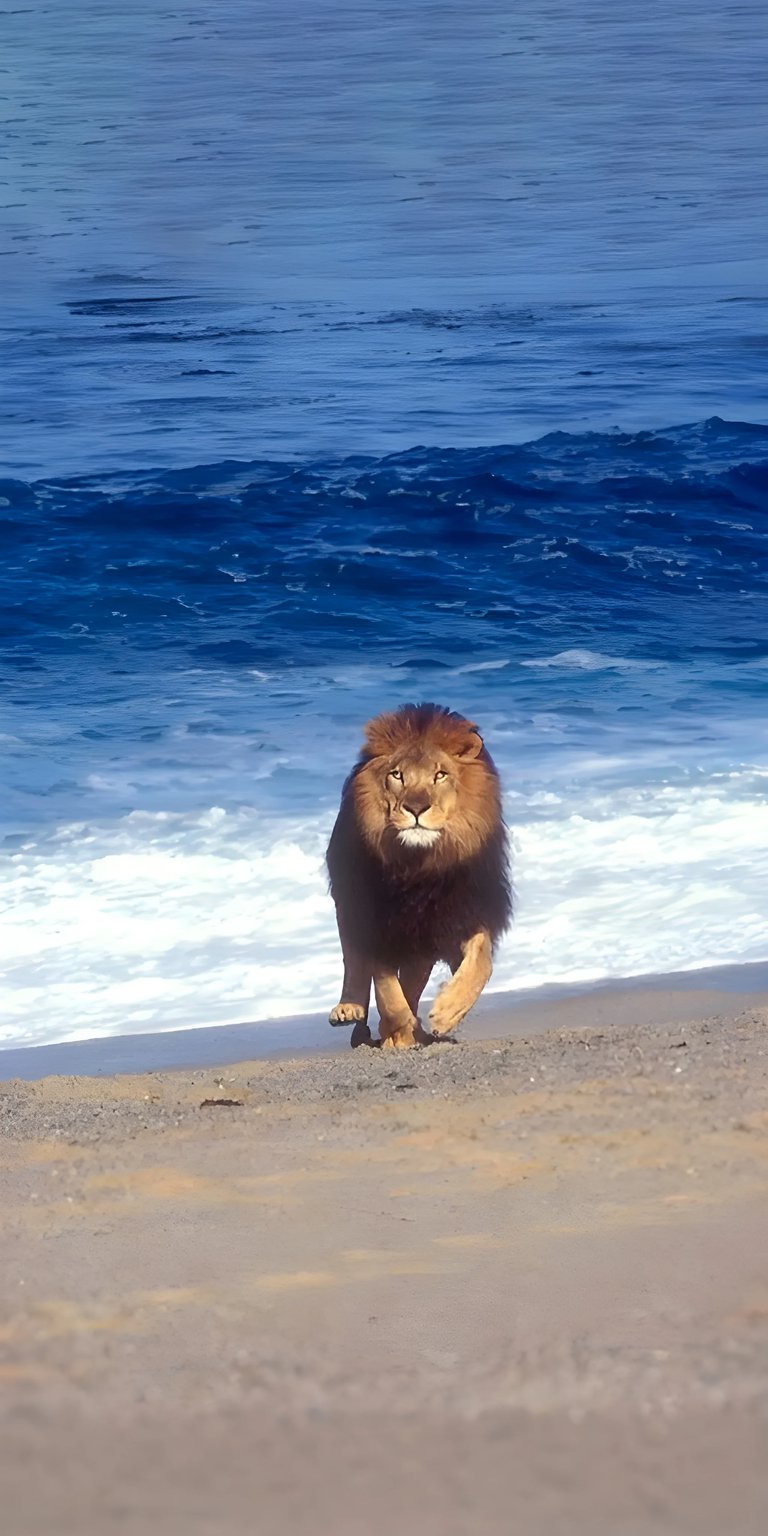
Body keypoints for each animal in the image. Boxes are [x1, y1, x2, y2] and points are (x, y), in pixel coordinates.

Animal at [326, 703, 512, 1049]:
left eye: (440, 775)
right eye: (397, 775)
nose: (415, 808)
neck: (419, 868)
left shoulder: (463, 913)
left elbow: (481, 962)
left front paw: (446, 1012)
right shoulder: (380, 921)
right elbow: (386, 986)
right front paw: (397, 1031)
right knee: (354, 960)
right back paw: (351, 1009)